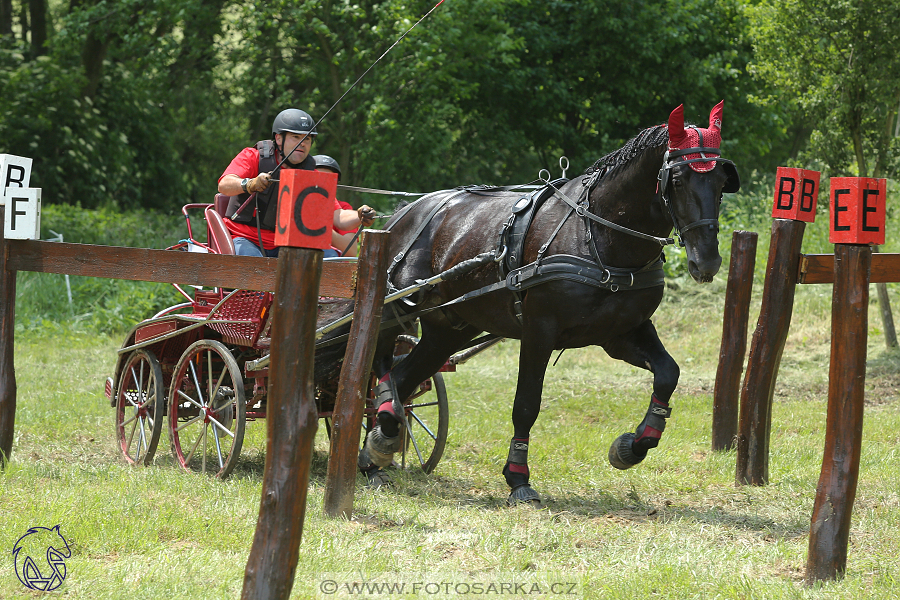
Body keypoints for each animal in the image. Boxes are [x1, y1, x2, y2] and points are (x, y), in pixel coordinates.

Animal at [324, 101, 740, 504]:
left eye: (721, 182)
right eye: (679, 179)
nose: (707, 261)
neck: (598, 234)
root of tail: (400, 217)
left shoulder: (621, 333)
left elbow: (668, 373)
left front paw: (633, 446)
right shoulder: (539, 330)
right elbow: (526, 403)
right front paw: (518, 478)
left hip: (449, 328)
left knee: (400, 379)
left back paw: (377, 449)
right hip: (391, 311)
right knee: (376, 368)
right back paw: (377, 440)